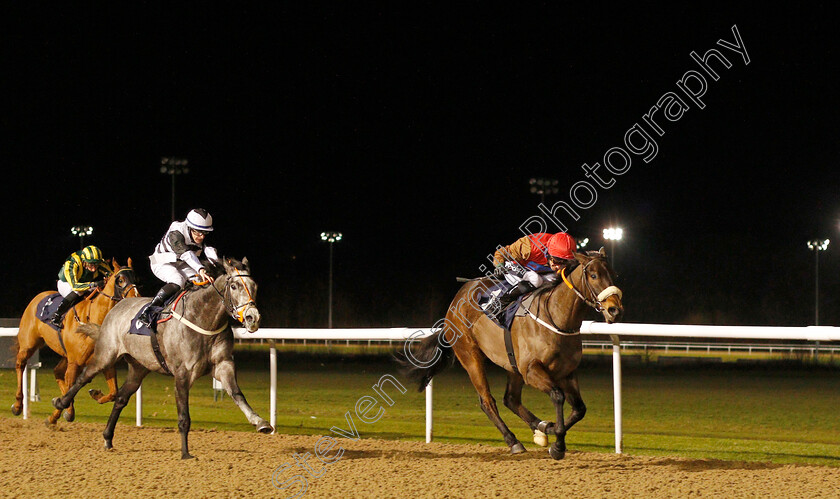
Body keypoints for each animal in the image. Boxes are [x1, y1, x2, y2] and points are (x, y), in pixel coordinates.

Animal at [11, 260, 139, 424]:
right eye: (120, 280)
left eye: (135, 278)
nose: (136, 296)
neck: (92, 320)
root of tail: (38, 297)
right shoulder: (75, 362)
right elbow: (71, 389)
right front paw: (68, 411)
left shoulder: (105, 363)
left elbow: (113, 392)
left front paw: (95, 394)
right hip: (29, 344)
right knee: (20, 365)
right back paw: (18, 405)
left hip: (65, 355)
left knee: (58, 372)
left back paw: (53, 417)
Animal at [53, 258, 270, 460]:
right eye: (234, 286)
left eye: (255, 286)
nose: (253, 318)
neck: (203, 319)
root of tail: (118, 305)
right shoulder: (183, 374)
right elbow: (183, 416)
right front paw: (185, 453)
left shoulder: (223, 364)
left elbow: (237, 394)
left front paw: (260, 422)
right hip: (106, 354)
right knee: (84, 377)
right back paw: (62, 404)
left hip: (139, 367)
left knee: (121, 397)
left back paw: (107, 437)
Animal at [398, 250, 624, 460]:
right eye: (593, 275)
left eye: (614, 274)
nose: (614, 309)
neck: (556, 317)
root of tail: (455, 302)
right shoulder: (531, 370)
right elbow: (557, 396)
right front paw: (558, 446)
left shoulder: (566, 372)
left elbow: (579, 409)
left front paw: (550, 432)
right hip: (470, 356)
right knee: (488, 401)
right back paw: (513, 441)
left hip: (512, 364)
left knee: (511, 399)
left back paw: (540, 427)